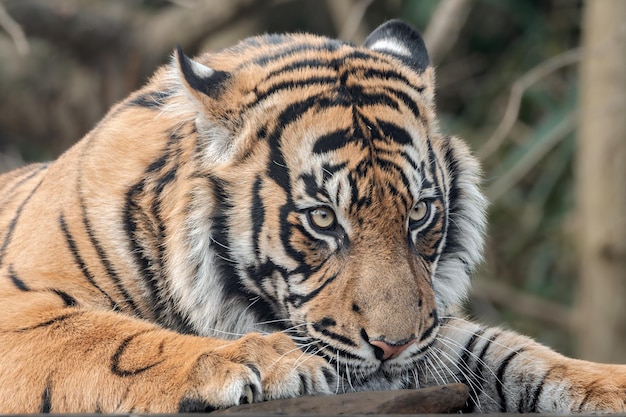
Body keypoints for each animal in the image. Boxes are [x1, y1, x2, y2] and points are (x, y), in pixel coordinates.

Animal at [1, 19, 624, 412]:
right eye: (324, 220)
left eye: (421, 213)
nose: (393, 347)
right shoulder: (20, 308)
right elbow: (116, 340)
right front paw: (260, 361)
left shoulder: (431, 332)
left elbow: (515, 353)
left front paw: (610, 385)